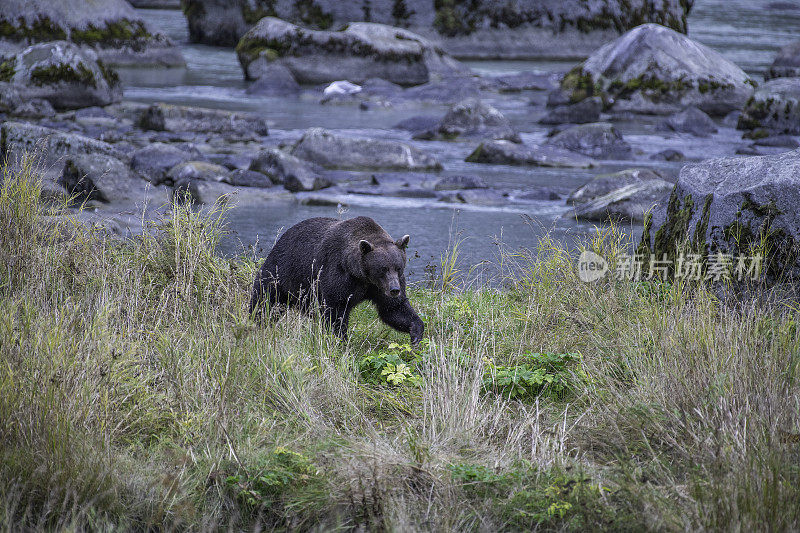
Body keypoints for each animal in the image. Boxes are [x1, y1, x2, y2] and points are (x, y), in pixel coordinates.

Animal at [248, 215, 424, 342]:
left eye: (398, 267)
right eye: (383, 269)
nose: (394, 290)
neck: (360, 274)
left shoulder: (377, 287)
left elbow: (393, 309)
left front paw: (416, 332)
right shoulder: (338, 274)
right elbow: (335, 310)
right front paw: (340, 339)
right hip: (282, 273)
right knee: (265, 302)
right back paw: (255, 323)